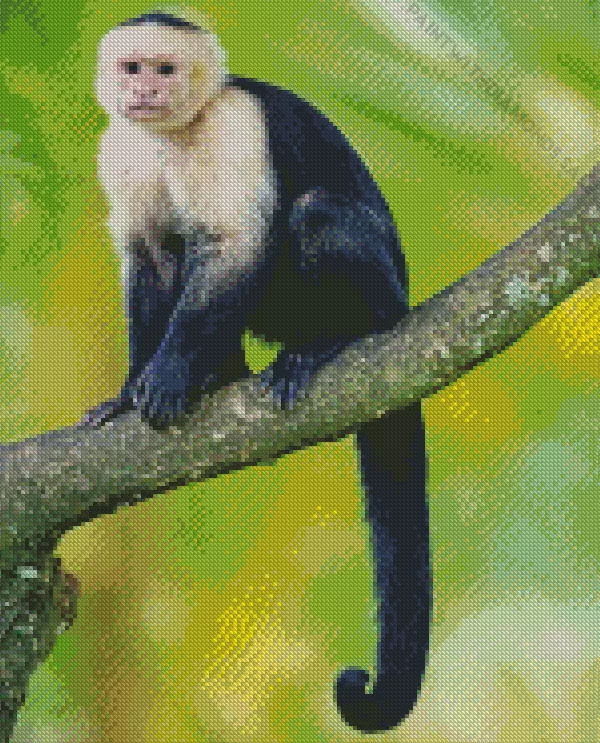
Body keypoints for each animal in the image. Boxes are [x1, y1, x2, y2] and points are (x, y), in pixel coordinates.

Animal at [81, 10, 430, 734]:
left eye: (165, 69)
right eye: (133, 68)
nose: (145, 92)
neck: (173, 133)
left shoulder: (233, 125)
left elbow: (235, 245)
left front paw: (170, 374)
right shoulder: (119, 148)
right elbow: (150, 256)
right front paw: (130, 391)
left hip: (387, 292)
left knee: (315, 211)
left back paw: (331, 341)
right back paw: (223, 372)